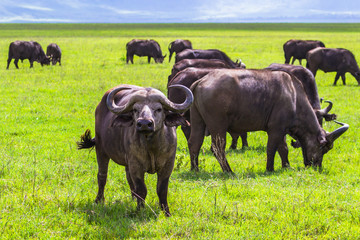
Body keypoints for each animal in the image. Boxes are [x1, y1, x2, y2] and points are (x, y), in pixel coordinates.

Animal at [77, 83, 193, 217]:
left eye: (158, 109)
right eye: (135, 109)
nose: (144, 123)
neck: (152, 147)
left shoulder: (168, 165)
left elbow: (162, 189)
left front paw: (166, 212)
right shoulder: (136, 166)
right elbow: (141, 189)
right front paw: (139, 210)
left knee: (128, 178)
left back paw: (132, 199)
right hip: (101, 149)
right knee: (102, 176)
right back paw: (99, 200)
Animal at [188, 69, 348, 172]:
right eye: (323, 147)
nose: (316, 166)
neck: (294, 97)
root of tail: (201, 81)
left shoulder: (283, 130)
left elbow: (283, 148)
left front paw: (286, 166)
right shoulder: (275, 129)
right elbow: (271, 148)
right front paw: (269, 169)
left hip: (197, 121)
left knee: (194, 143)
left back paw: (195, 169)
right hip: (218, 126)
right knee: (217, 148)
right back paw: (229, 171)